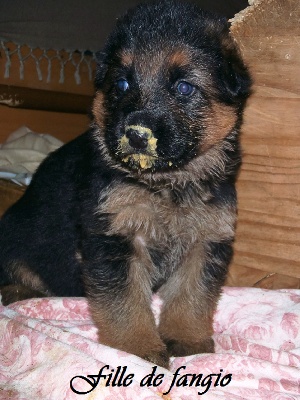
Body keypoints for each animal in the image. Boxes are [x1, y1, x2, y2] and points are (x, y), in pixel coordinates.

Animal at [0, 0, 251, 368]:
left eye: (184, 87)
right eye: (121, 84)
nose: (136, 135)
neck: (167, 183)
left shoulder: (205, 241)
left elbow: (191, 297)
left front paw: (187, 341)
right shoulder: (115, 239)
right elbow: (126, 302)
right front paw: (137, 348)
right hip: (15, 233)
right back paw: (20, 292)